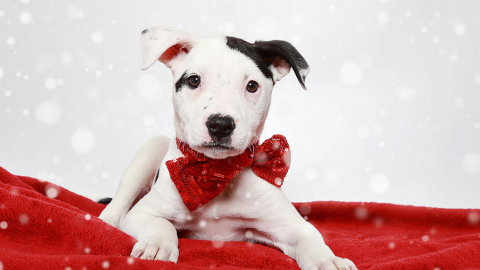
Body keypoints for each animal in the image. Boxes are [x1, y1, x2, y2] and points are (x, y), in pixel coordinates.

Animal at [99, 26, 356, 270]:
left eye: (252, 86)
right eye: (193, 80)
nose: (220, 124)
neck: (218, 172)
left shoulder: (289, 224)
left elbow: (311, 239)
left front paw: (328, 260)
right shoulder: (142, 213)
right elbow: (160, 223)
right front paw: (157, 245)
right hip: (148, 153)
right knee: (116, 206)